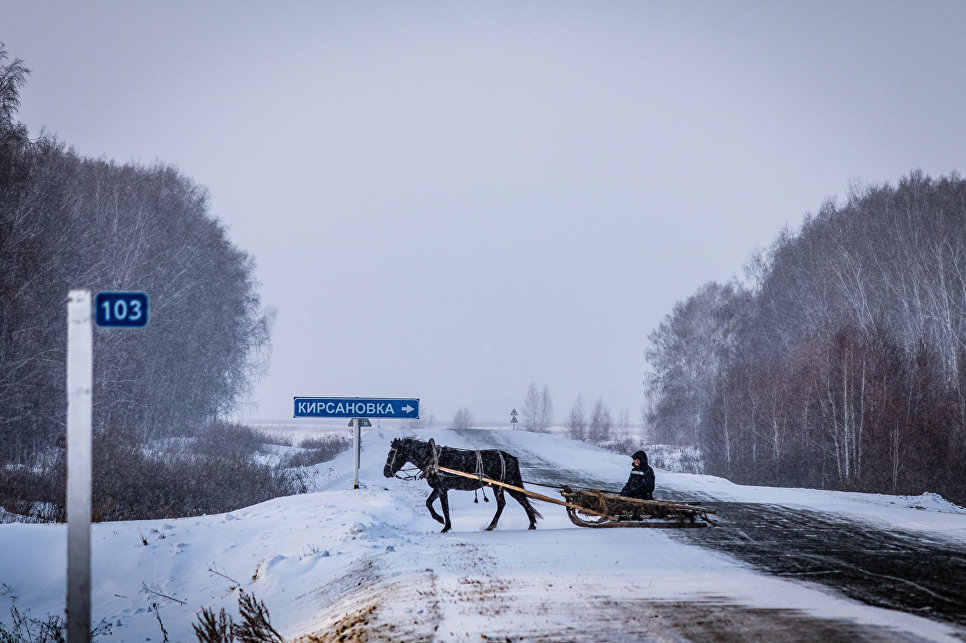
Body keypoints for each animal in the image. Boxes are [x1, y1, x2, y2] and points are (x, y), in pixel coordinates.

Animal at [384, 438, 544, 532]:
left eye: (392, 454)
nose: (386, 472)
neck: (433, 459)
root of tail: (510, 457)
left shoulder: (442, 488)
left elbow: (442, 507)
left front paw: (444, 525)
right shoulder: (439, 488)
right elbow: (431, 503)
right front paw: (442, 522)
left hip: (507, 484)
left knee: (519, 501)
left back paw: (528, 524)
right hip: (500, 486)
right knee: (508, 503)